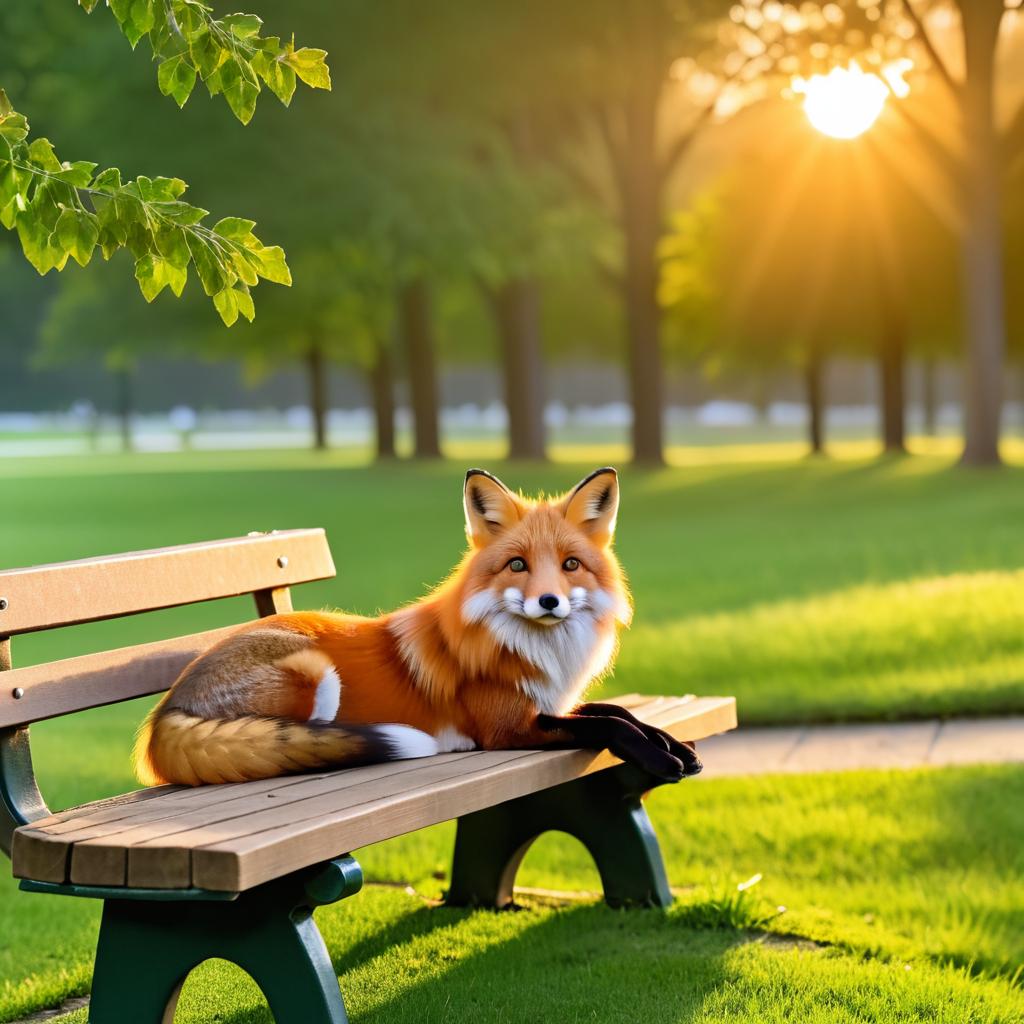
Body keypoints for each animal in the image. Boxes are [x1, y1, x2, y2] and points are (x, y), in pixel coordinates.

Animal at [132, 468, 700, 786]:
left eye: (570, 565)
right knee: (296, 747)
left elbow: (617, 711)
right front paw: (657, 756)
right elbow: (607, 725)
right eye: (517, 565)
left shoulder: (545, 704)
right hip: (314, 673)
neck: (531, 648)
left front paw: (673, 744)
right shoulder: (509, 729)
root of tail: (167, 705)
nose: (549, 601)